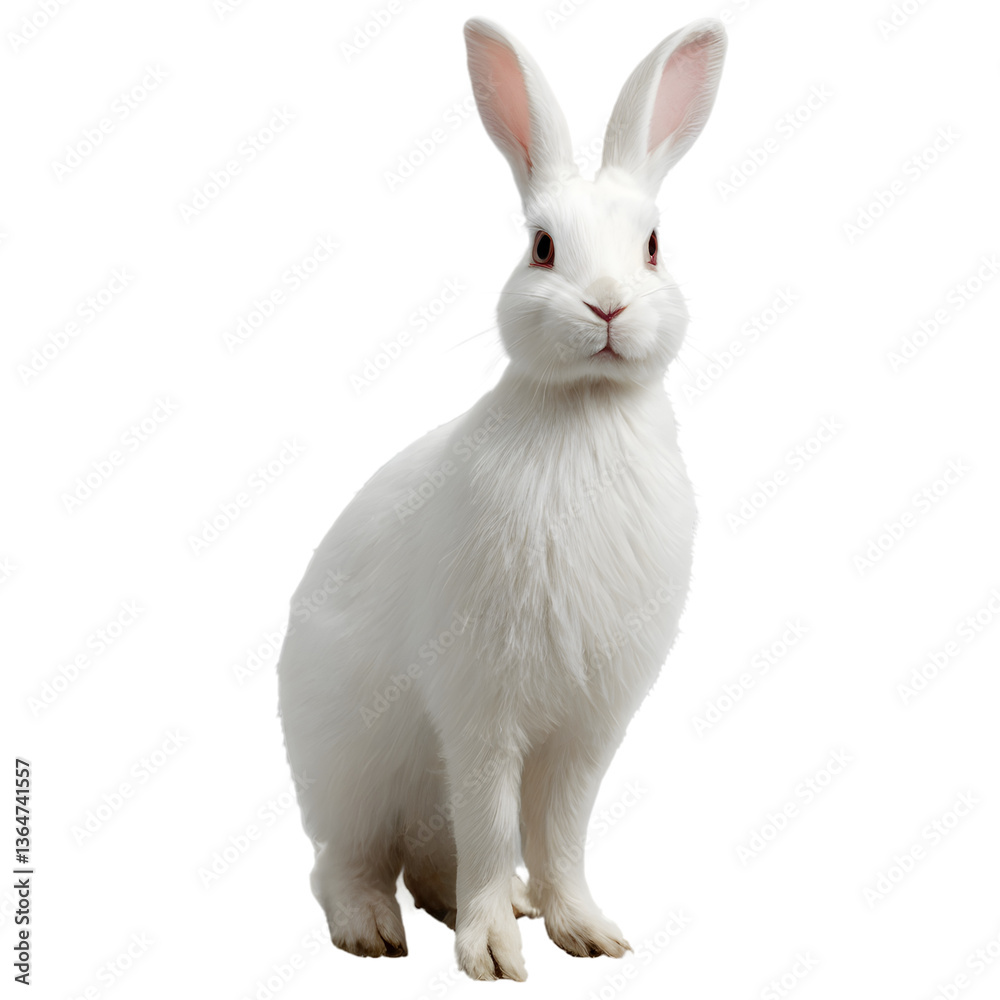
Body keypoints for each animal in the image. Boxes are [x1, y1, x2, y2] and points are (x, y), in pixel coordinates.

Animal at [276, 15, 727, 982]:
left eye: (653, 245)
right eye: (542, 247)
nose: (607, 307)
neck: (583, 409)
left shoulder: (590, 727)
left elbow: (563, 831)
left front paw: (585, 931)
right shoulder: (481, 708)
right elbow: (494, 818)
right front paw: (493, 955)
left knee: (433, 859)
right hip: (350, 773)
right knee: (350, 863)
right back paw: (375, 930)